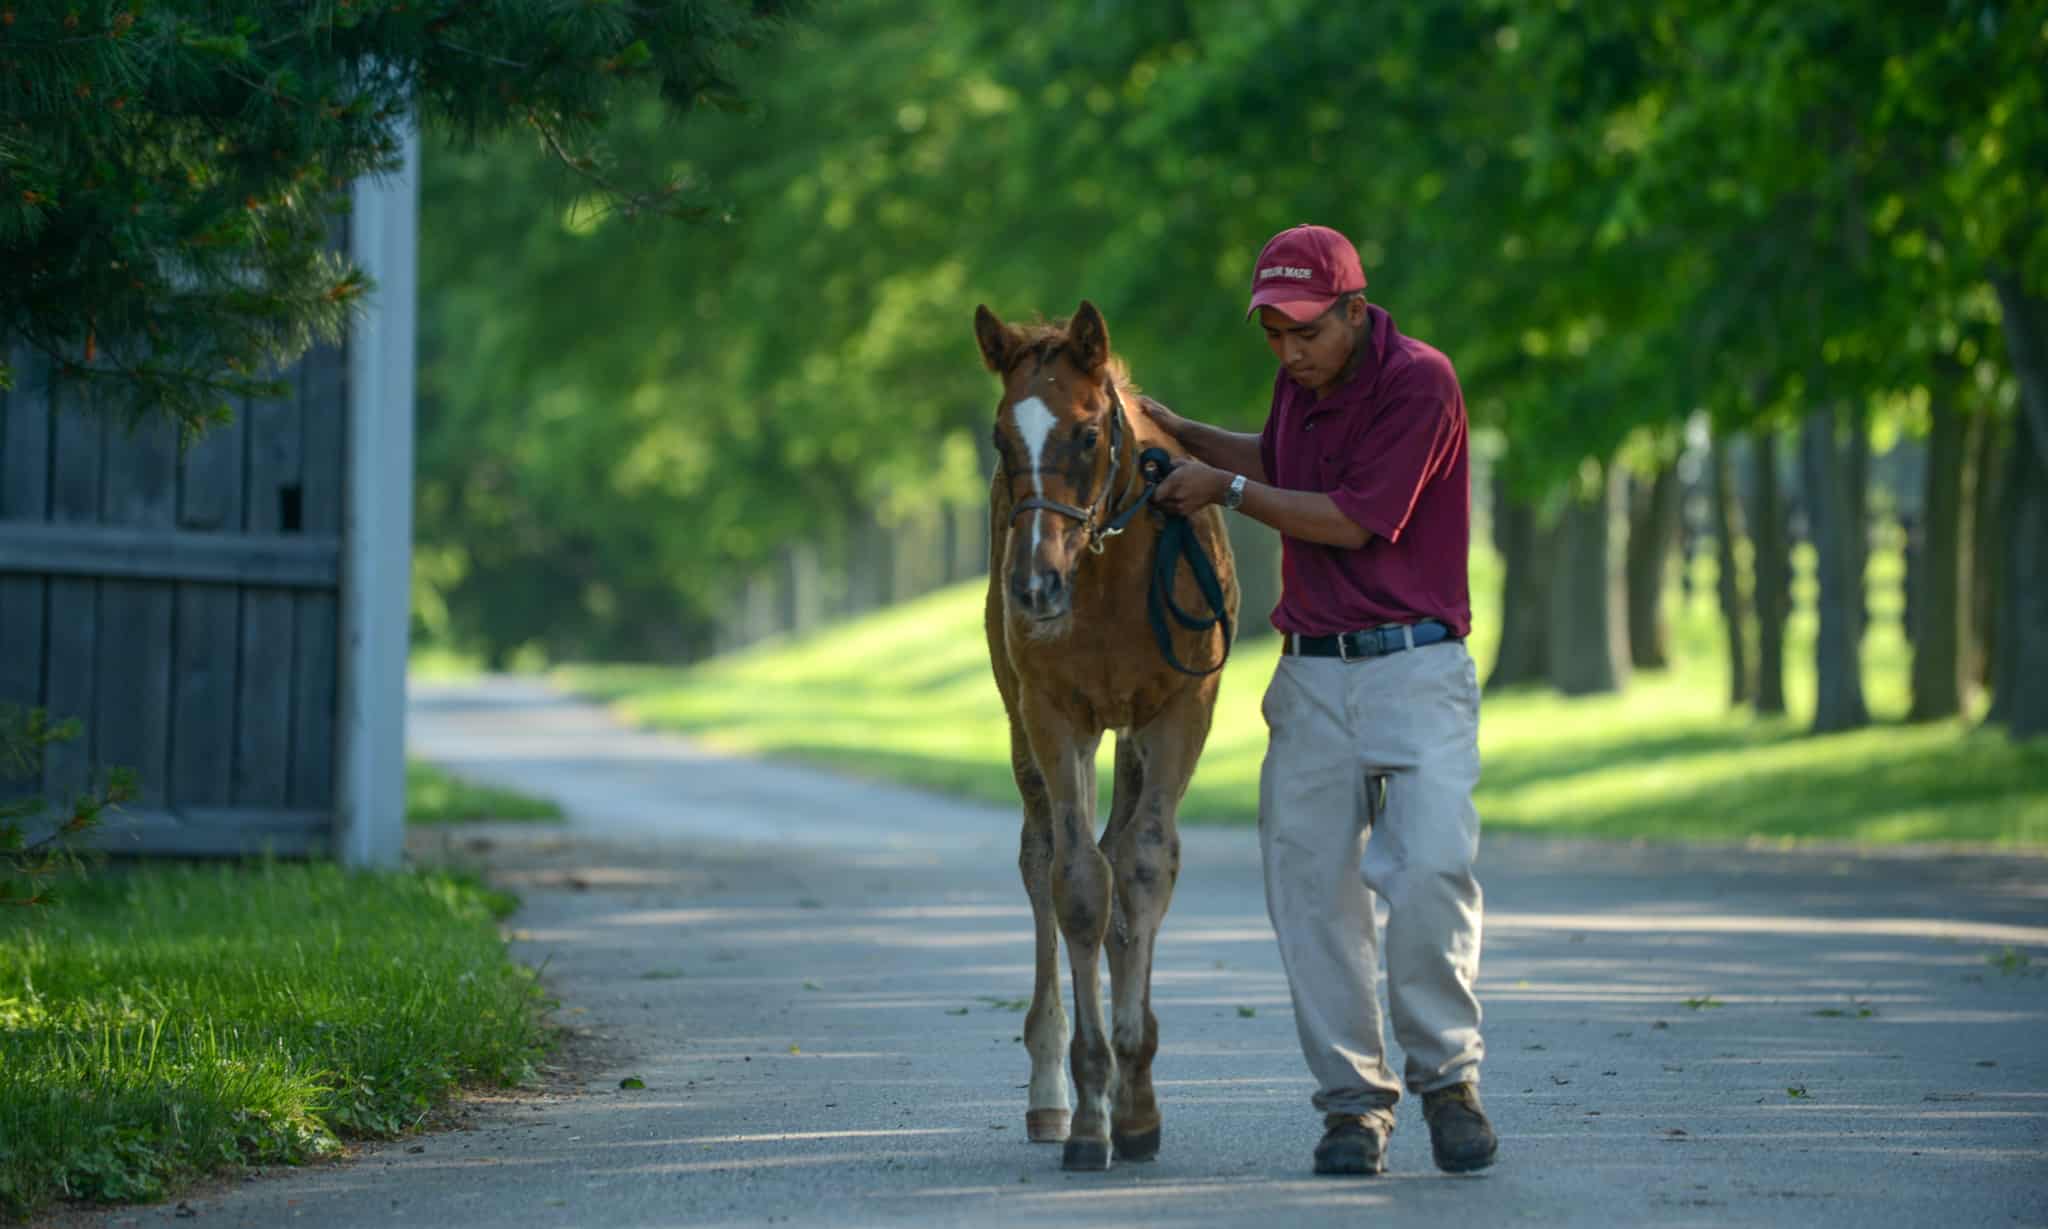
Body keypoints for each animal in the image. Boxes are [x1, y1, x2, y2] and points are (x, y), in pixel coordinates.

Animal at [974, 299, 1240, 1171]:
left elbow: (1145, 867)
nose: (1034, 586)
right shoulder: (1057, 712)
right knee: (1042, 857)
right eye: (1001, 438)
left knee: (1126, 852)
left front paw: (1137, 1099)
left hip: (1130, 735)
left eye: (1089, 433)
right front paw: (1092, 1106)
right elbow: (1079, 882)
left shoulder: (1179, 708)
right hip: (1029, 721)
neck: (1114, 569)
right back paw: (1050, 1092)